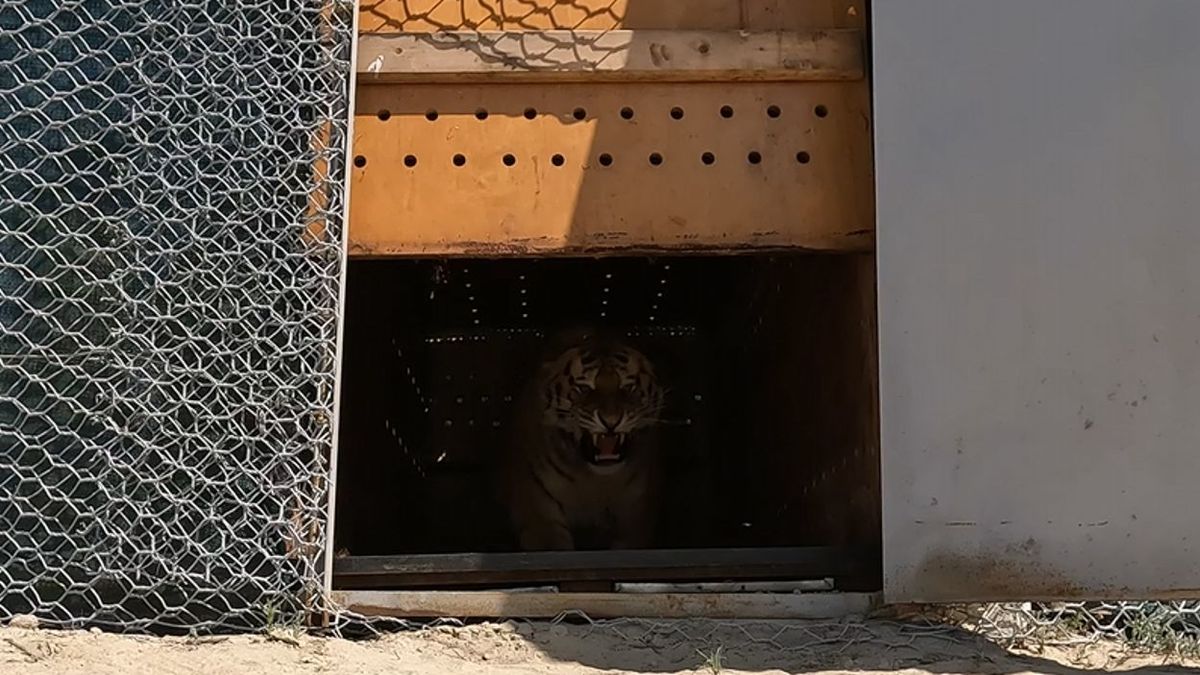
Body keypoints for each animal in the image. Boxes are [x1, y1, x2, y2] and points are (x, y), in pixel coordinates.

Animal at [498, 329, 667, 551]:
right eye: (585, 388)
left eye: (628, 387)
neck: (593, 479)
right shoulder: (540, 513)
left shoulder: (634, 519)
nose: (611, 421)